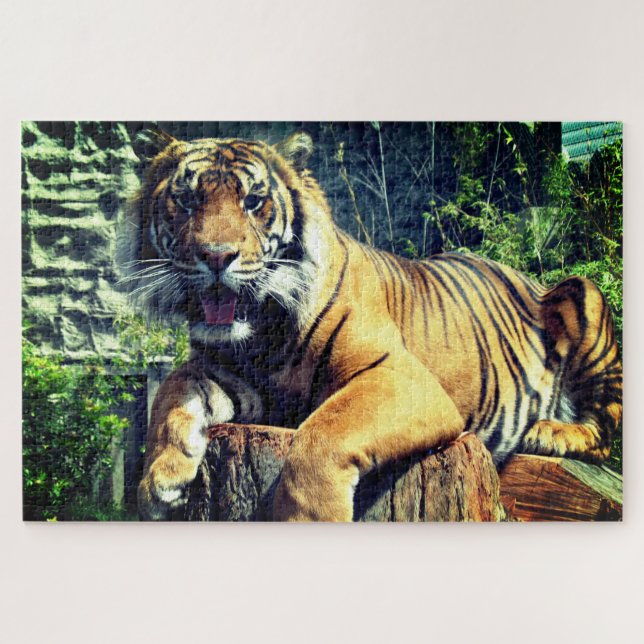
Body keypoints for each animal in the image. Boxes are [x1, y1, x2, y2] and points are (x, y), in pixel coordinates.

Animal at [117, 128, 623, 521]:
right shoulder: (232, 375)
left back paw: (550, 431)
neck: (264, 334)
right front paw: (159, 481)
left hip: (585, 295)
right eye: (186, 201)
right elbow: (170, 393)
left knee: (606, 432)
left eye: (253, 201)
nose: (217, 256)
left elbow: (322, 435)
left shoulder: (401, 377)